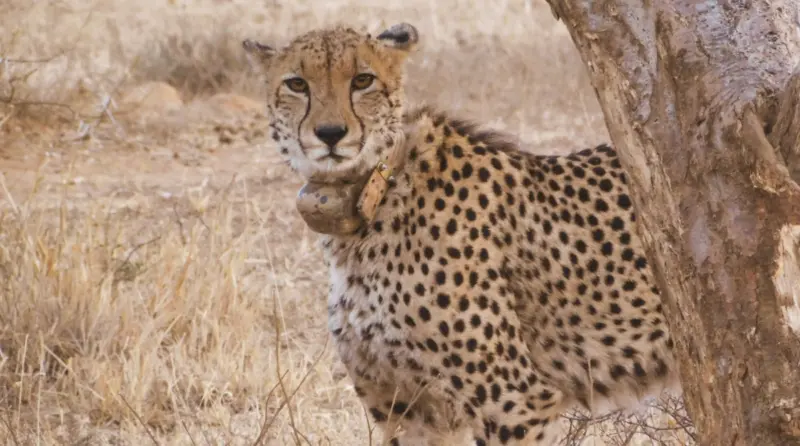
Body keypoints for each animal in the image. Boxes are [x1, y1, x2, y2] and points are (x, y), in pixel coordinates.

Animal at [243, 22, 678, 445]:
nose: (330, 133)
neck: (374, 193)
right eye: (297, 84)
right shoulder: (408, 411)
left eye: (362, 80)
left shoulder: (515, 402)